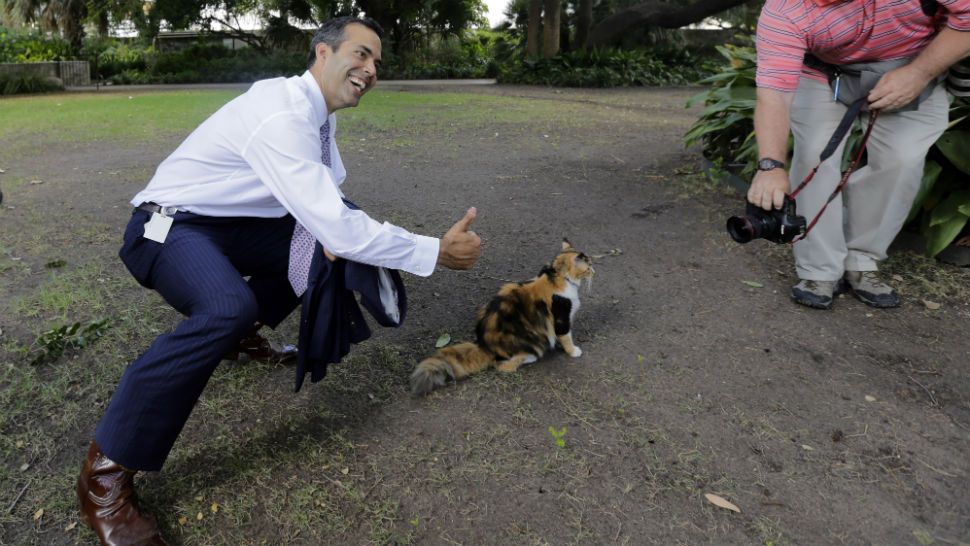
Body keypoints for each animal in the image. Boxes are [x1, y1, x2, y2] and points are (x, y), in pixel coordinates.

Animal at [406, 240, 588, 394]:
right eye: (588, 265)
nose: (593, 269)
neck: (556, 276)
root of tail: (484, 345)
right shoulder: (562, 317)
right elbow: (566, 337)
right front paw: (573, 351)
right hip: (529, 343)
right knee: (503, 365)